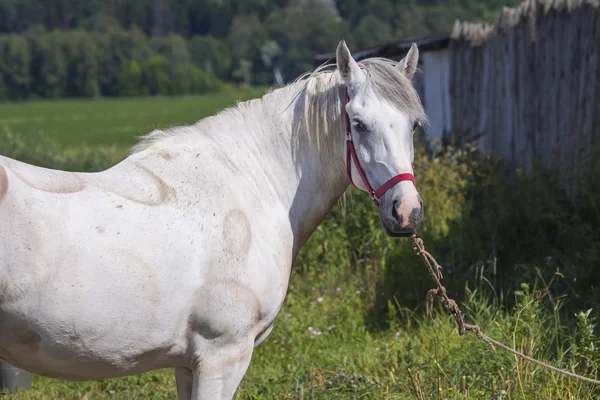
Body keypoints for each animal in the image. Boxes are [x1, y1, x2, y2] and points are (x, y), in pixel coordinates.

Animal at [0, 41, 428, 400]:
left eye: (413, 125)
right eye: (358, 123)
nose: (405, 210)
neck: (250, 185)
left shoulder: (188, 365)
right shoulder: (222, 357)